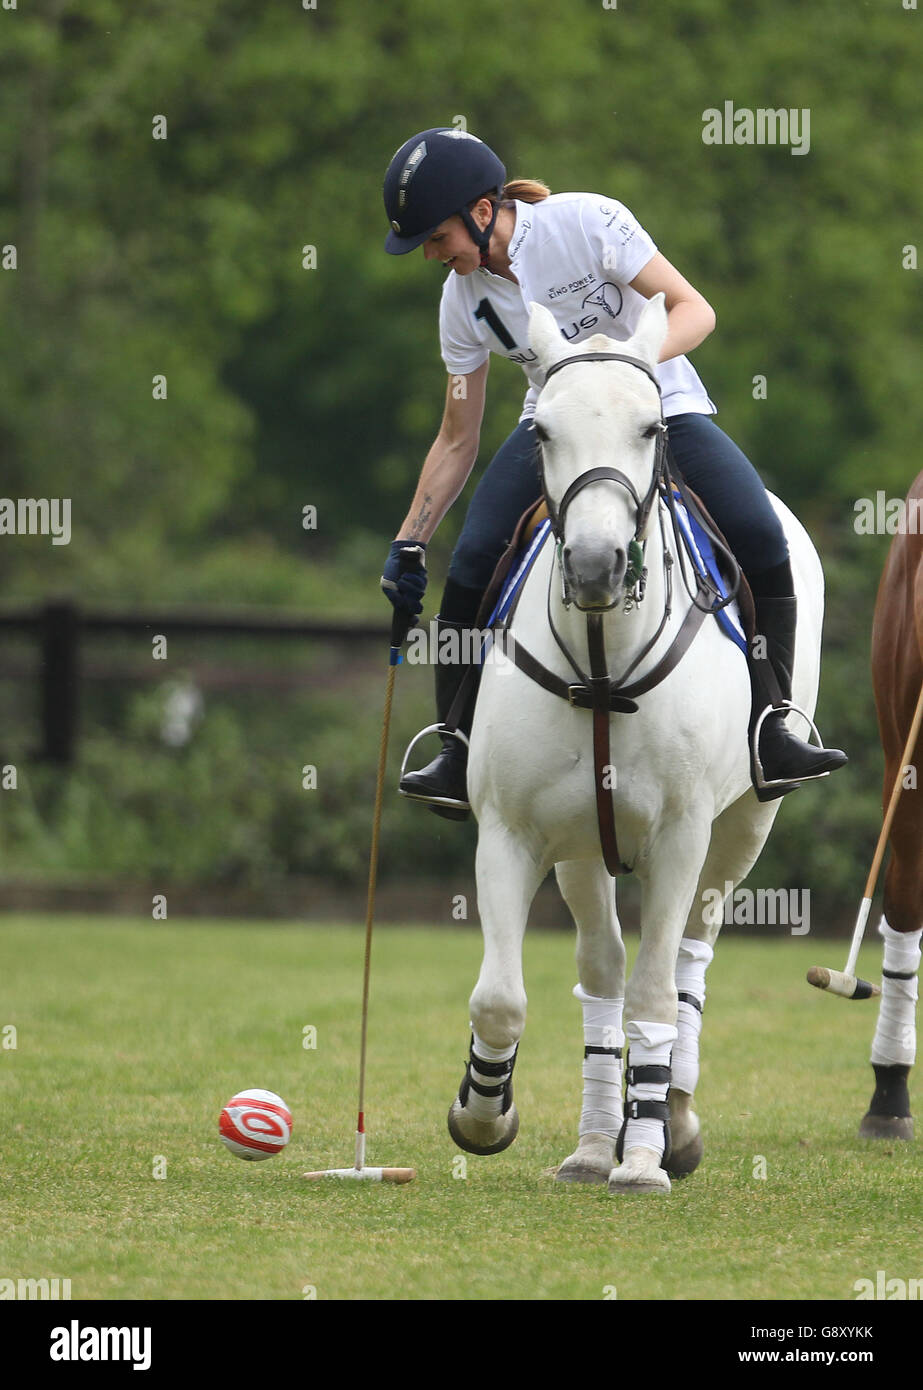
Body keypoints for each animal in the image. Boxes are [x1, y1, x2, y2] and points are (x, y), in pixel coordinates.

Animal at [444, 296, 822, 1195]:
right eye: (541, 432)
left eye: (650, 427)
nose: (594, 565)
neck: (600, 657)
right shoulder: (510, 832)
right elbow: (501, 996)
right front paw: (483, 1112)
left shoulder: (681, 836)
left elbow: (657, 993)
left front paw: (645, 1158)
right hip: (584, 846)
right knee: (601, 969)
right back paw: (592, 1142)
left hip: (741, 829)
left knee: (686, 963)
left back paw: (667, 1122)